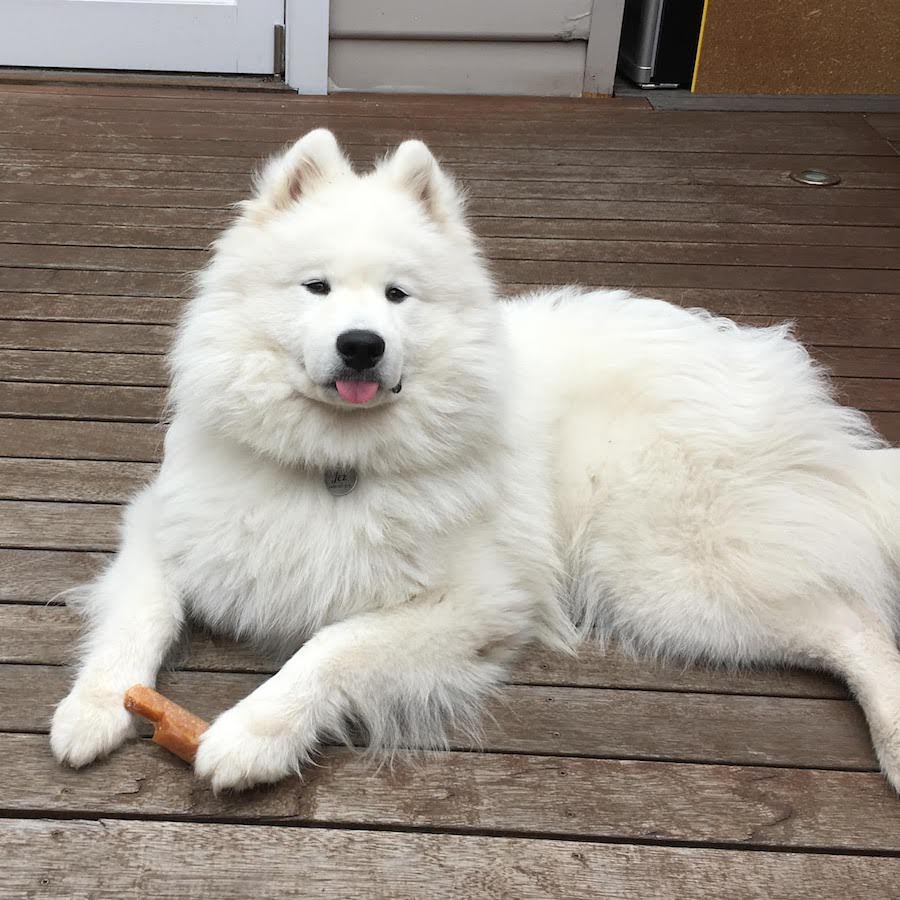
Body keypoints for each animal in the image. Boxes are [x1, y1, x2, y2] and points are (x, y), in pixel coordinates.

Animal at [49, 130, 900, 792]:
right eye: (316, 287)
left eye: (397, 296)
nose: (362, 344)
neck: (335, 465)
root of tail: (780, 380)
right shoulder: (162, 528)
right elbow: (140, 617)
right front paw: (91, 710)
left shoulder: (475, 604)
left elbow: (332, 647)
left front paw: (253, 735)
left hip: (673, 575)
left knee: (852, 622)